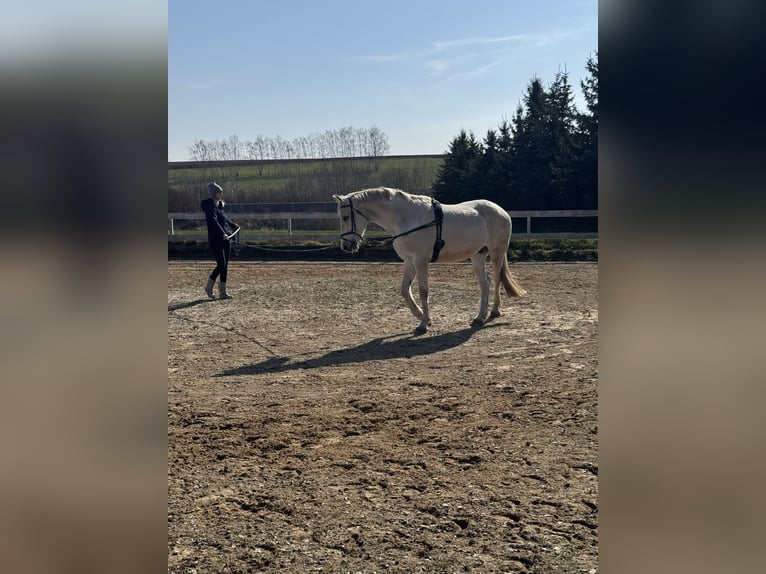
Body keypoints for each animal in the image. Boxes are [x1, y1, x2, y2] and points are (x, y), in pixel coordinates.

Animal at [333, 187, 526, 333]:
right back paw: (479, 317)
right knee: (485, 283)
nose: (346, 246)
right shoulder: (409, 261)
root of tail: (501, 211)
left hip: (496, 253)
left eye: (345, 217)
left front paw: (423, 323)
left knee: (497, 279)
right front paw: (420, 315)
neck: (406, 218)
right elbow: (404, 290)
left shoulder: (420, 261)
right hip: (477, 255)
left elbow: (423, 291)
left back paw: (494, 311)